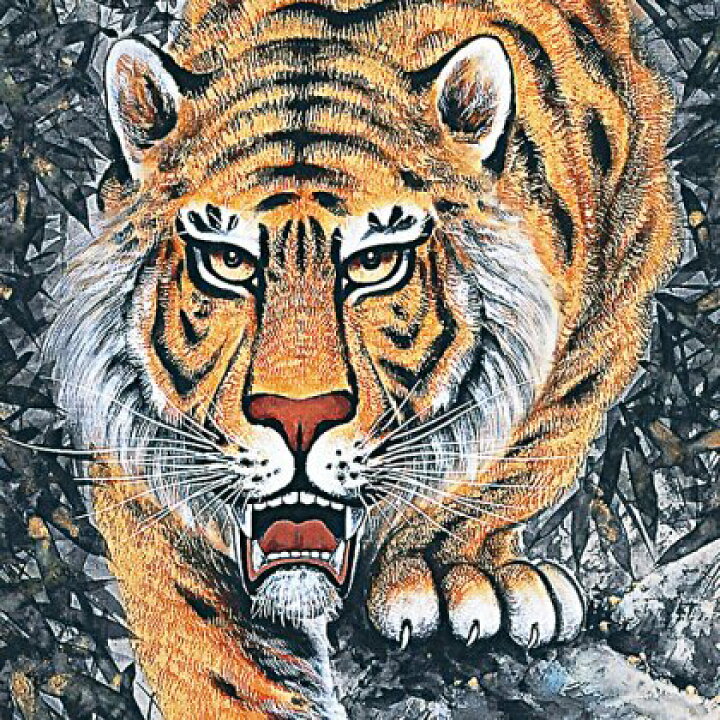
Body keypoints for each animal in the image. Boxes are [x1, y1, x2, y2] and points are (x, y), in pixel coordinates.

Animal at [43, 0, 678, 717]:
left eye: (375, 262)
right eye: (228, 260)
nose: (297, 418)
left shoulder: (610, 300)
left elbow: (515, 458)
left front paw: (457, 571)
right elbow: (207, 646)